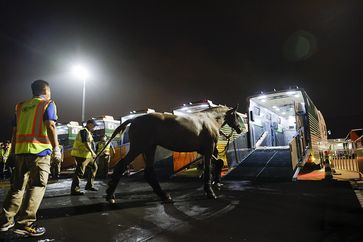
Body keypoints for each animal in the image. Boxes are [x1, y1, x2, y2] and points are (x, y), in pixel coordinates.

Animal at [99, 105, 243, 203]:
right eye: (236, 115)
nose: (240, 129)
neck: (209, 120)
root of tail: (134, 121)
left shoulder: (203, 151)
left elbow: (219, 162)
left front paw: (217, 182)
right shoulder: (208, 150)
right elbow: (208, 170)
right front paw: (210, 192)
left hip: (149, 148)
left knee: (149, 172)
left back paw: (164, 195)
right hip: (138, 148)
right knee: (121, 166)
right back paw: (110, 195)